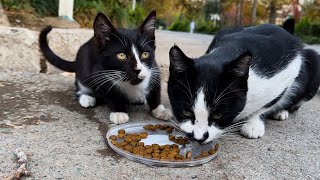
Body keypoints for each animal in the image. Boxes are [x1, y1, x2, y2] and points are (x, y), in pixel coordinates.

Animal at [39, 10, 172, 124]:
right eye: (121, 55)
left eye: (145, 54)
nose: (138, 69)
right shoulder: (99, 72)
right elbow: (111, 92)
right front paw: (119, 111)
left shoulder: (153, 68)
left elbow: (155, 90)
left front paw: (159, 110)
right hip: (83, 63)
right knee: (80, 84)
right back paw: (86, 97)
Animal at [168, 23, 320, 143]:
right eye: (186, 111)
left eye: (218, 115)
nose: (198, 137)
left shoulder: (289, 68)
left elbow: (268, 103)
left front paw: (253, 123)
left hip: (313, 60)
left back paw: (281, 112)